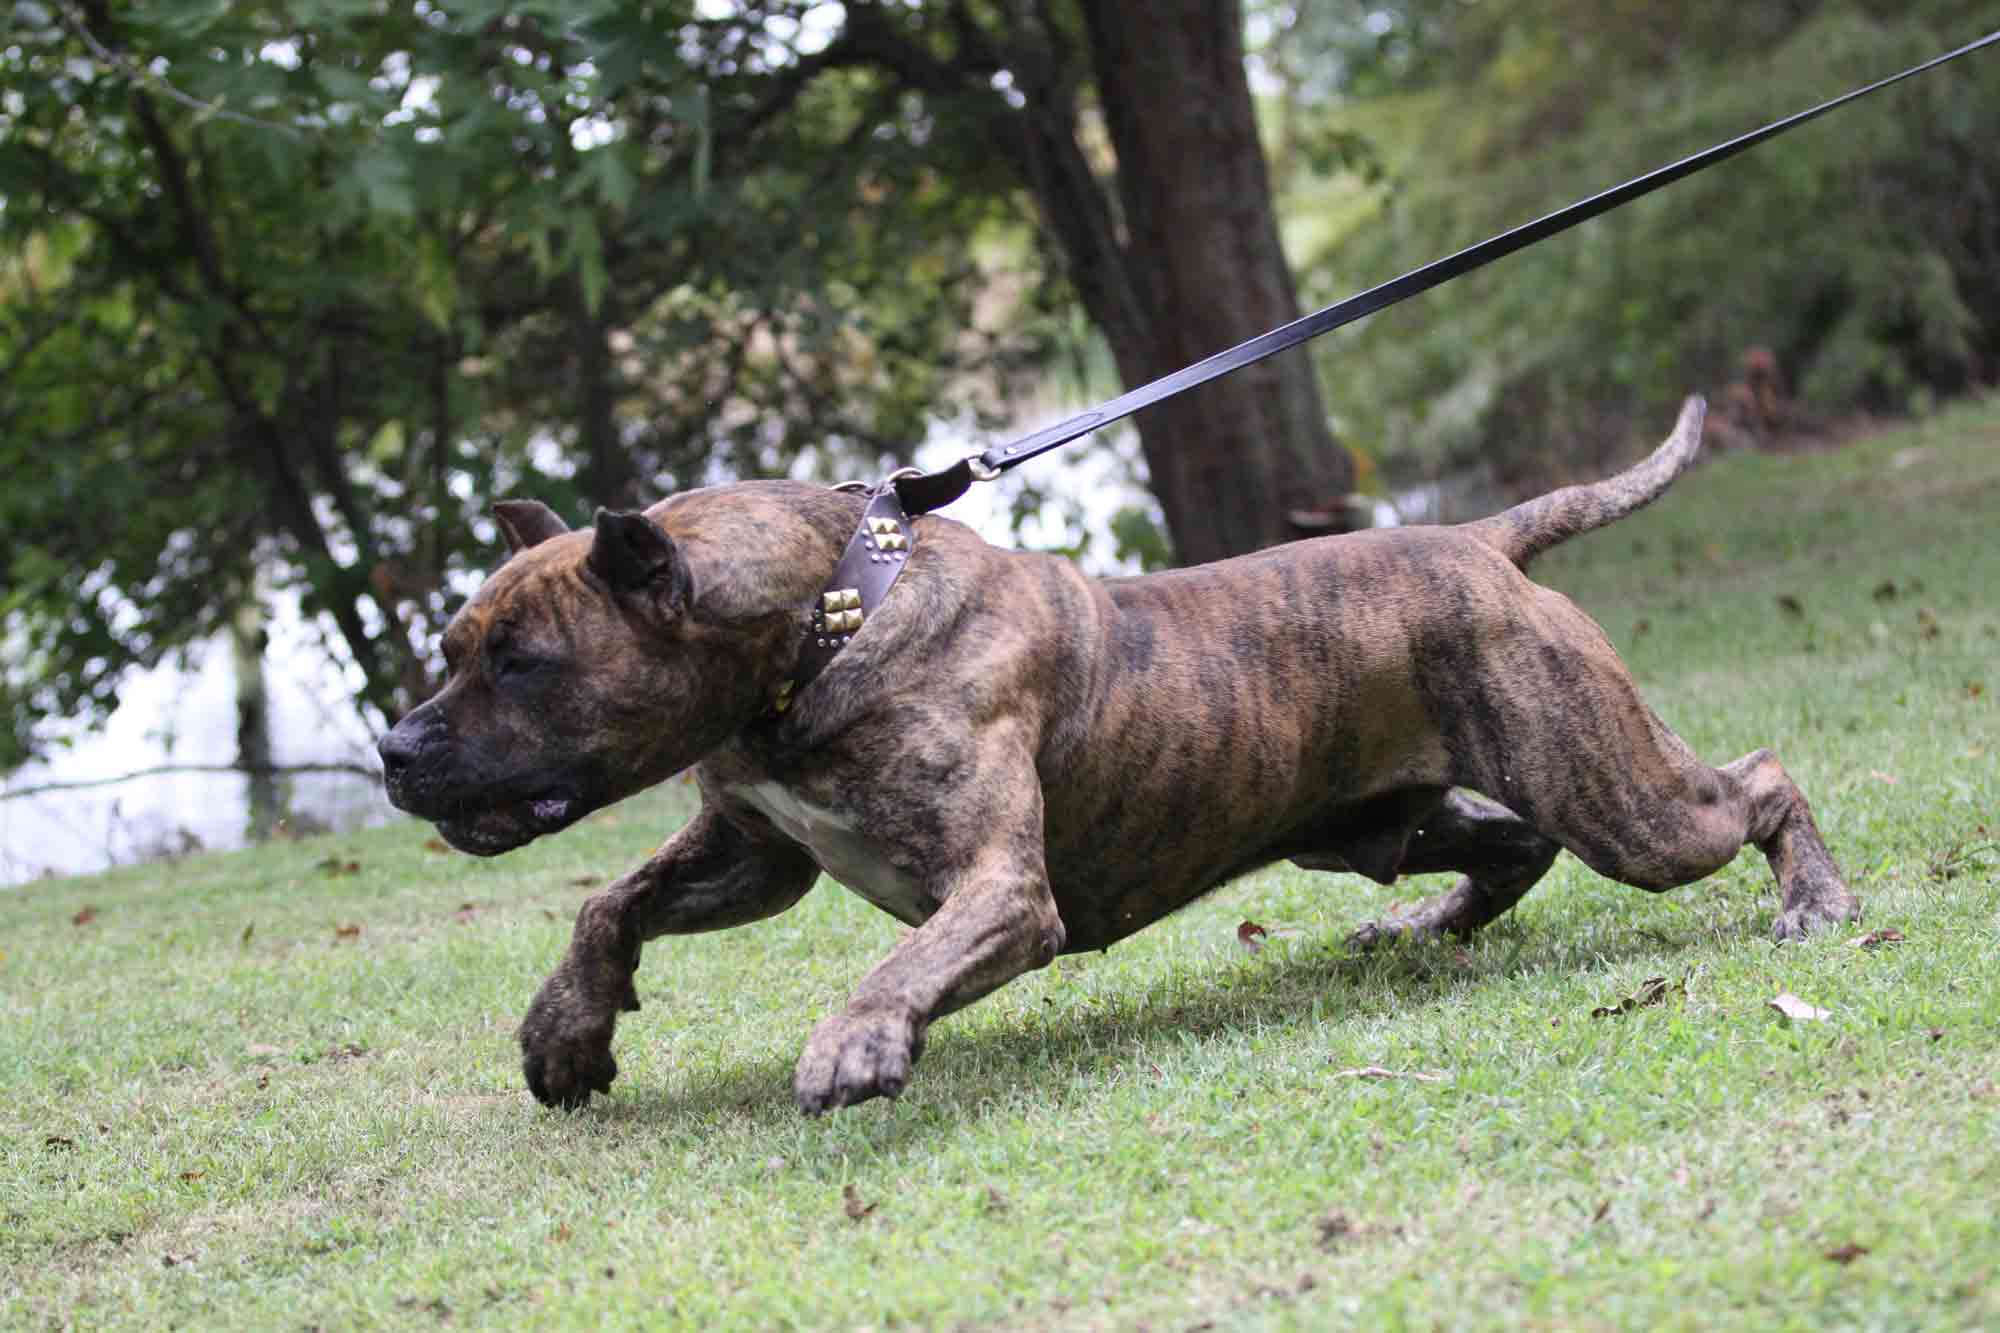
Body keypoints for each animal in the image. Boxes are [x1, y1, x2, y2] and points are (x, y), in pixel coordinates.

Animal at [378, 394, 1856, 1112]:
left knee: (1754, 783)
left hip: (1622, 797)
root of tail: (1481, 540)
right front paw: (566, 1034)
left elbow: (891, 966)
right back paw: (1426, 922)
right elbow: (606, 903)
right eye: (452, 646)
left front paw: (854, 1043)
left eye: (521, 663)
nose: (393, 745)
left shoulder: (996, 890)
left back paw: (1815, 899)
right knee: (1511, 843)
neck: (826, 612)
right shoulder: (754, 852)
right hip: (1365, 815)